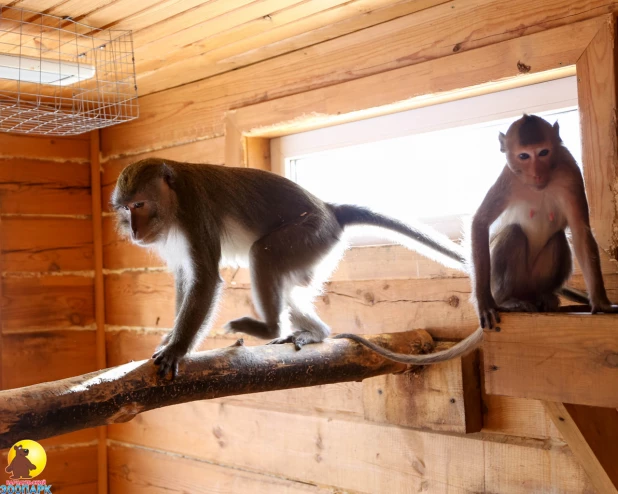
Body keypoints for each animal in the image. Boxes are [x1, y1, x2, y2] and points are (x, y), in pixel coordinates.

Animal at [110, 158, 486, 378]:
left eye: (139, 205)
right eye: (126, 209)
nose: (134, 230)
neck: (173, 203)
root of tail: (331, 210)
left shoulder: (193, 211)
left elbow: (204, 279)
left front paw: (177, 348)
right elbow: (184, 278)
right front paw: (171, 337)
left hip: (311, 233)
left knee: (262, 254)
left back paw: (270, 328)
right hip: (315, 246)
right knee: (285, 284)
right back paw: (317, 331)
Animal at [466, 112, 616, 328]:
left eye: (543, 152)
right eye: (524, 156)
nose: (537, 173)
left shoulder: (570, 172)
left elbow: (580, 231)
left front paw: (601, 303)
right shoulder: (508, 179)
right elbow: (481, 222)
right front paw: (484, 302)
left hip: (534, 282)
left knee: (558, 238)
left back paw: (545, 297)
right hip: (509, 283)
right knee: (514, 232)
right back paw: (507, 301)